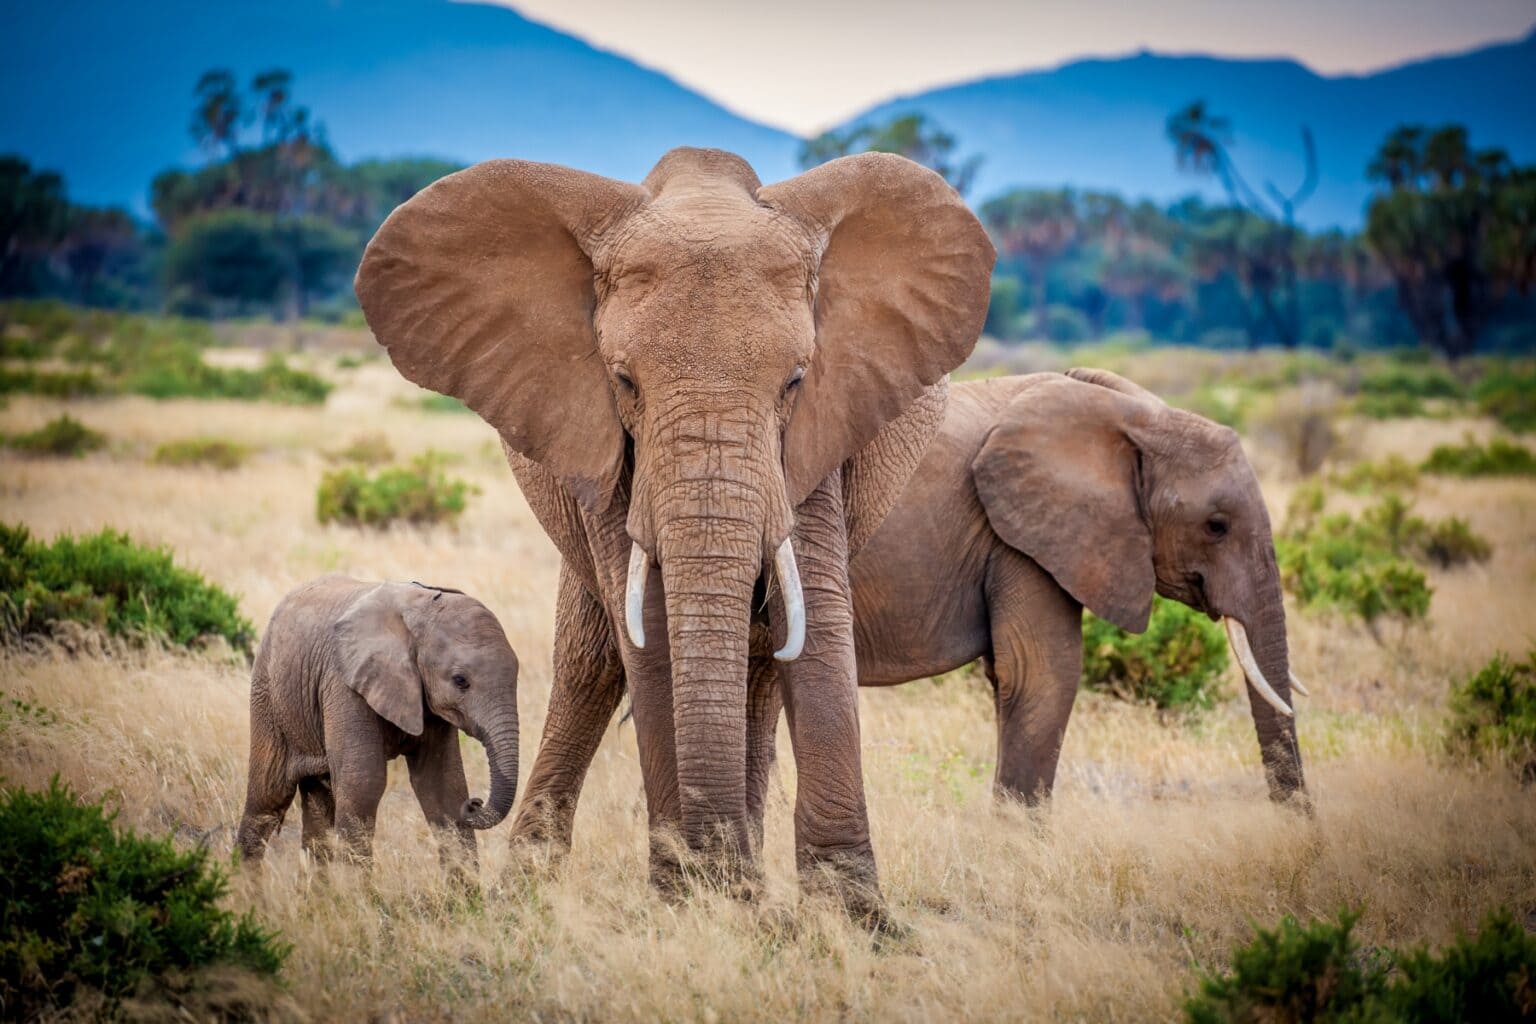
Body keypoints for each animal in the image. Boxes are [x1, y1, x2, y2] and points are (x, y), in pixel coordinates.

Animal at [236, 576, 521, 874]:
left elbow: (442, 783)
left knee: (319, 802)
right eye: (460, 681)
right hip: (268, 694)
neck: (420, 611)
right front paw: (355, 887)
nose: (475, 803)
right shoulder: (344, 683)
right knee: (268, 798)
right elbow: (363, 783)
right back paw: (246, 883)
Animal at [354, 146, 994, 915]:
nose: (714, 871)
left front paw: (849, 919)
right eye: (625, 381)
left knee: (757, 669)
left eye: (796, 381)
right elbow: (649, 632)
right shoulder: (602, 439)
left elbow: (814, 618)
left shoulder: (821, 436)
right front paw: (689, 901)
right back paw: (534, 889)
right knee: (590, 667)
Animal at [493, 369, 1307, 861]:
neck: (1136, 415)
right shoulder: (1023, 541)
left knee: (604, 671)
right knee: (600, 671)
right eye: (1217, 526)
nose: (1299, 831)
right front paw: (1018, 862)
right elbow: (1040, 676)